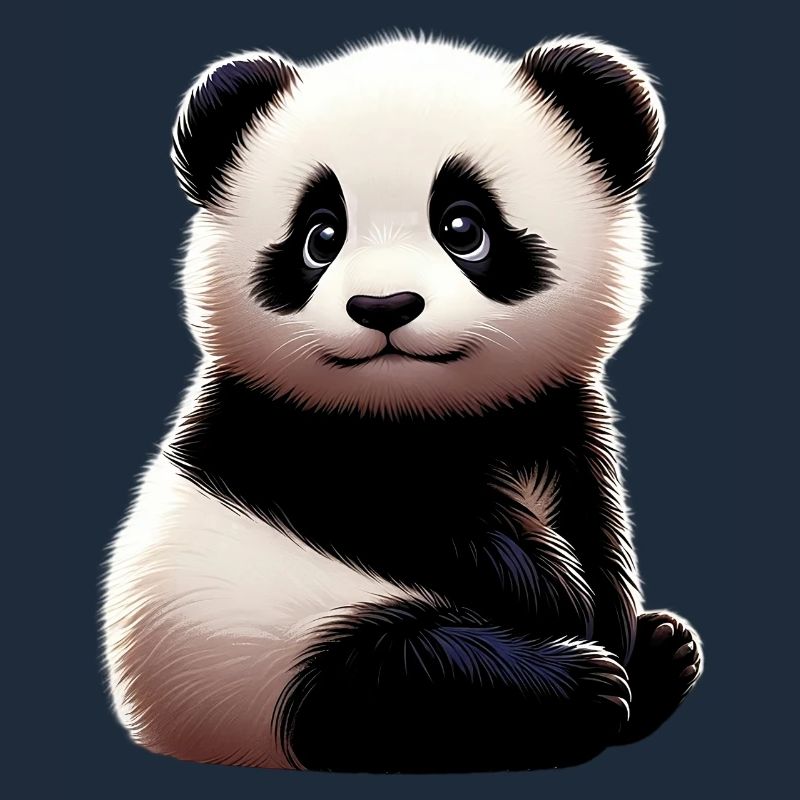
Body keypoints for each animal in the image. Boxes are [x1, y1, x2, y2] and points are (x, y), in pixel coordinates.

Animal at [101, 33, 703, 773]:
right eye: (321, 236)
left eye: (463, 226)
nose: (383, 306)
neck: (421, 412)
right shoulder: (275, 428)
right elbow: (391, 511)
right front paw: (556, 592)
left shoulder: (559, 414)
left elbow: (596, 519)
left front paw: (608, 614)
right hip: (249, 656)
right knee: (395, 680)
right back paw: (586, 686)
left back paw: (660, 655)